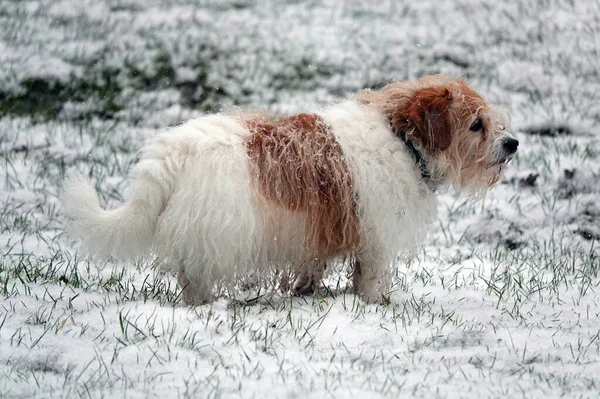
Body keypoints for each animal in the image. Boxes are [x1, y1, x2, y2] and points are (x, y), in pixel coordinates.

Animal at [63, 75, 516, 304]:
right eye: (476, 124)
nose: (513, 144)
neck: (400, 137)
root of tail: (175, 148)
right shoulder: (376, 240)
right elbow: (371, 280)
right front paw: (376, 306)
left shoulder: (316, 234)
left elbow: (311, 268)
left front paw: (306, 292)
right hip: (218, 233)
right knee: (195, 276)